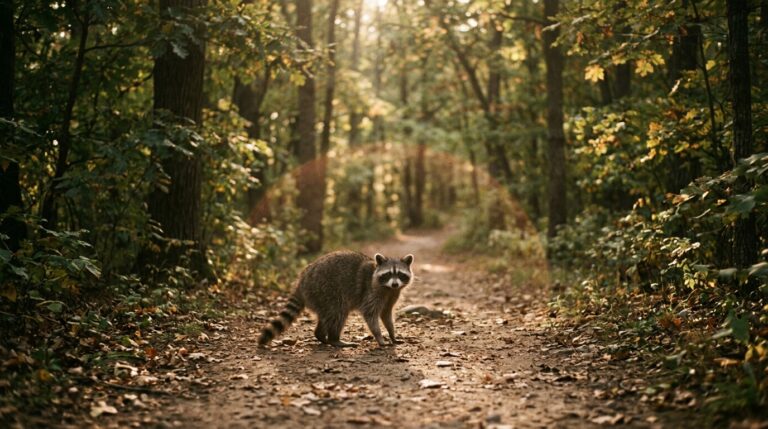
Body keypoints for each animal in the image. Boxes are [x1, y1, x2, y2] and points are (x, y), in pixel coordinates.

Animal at [258, 251, 414, 347]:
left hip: (319, 296)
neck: (388, 289)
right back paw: (335, 339)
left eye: (400, 274)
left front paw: (392, 334)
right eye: (388, 274)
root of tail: (301, 280)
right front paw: (379, 336)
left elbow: (386, 315)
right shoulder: (371, 291)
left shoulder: (392, 295)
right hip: (325, 289)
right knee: (338, 312)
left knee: (328, 315)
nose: (395, 284)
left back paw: (321, 336)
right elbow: (370, 314)